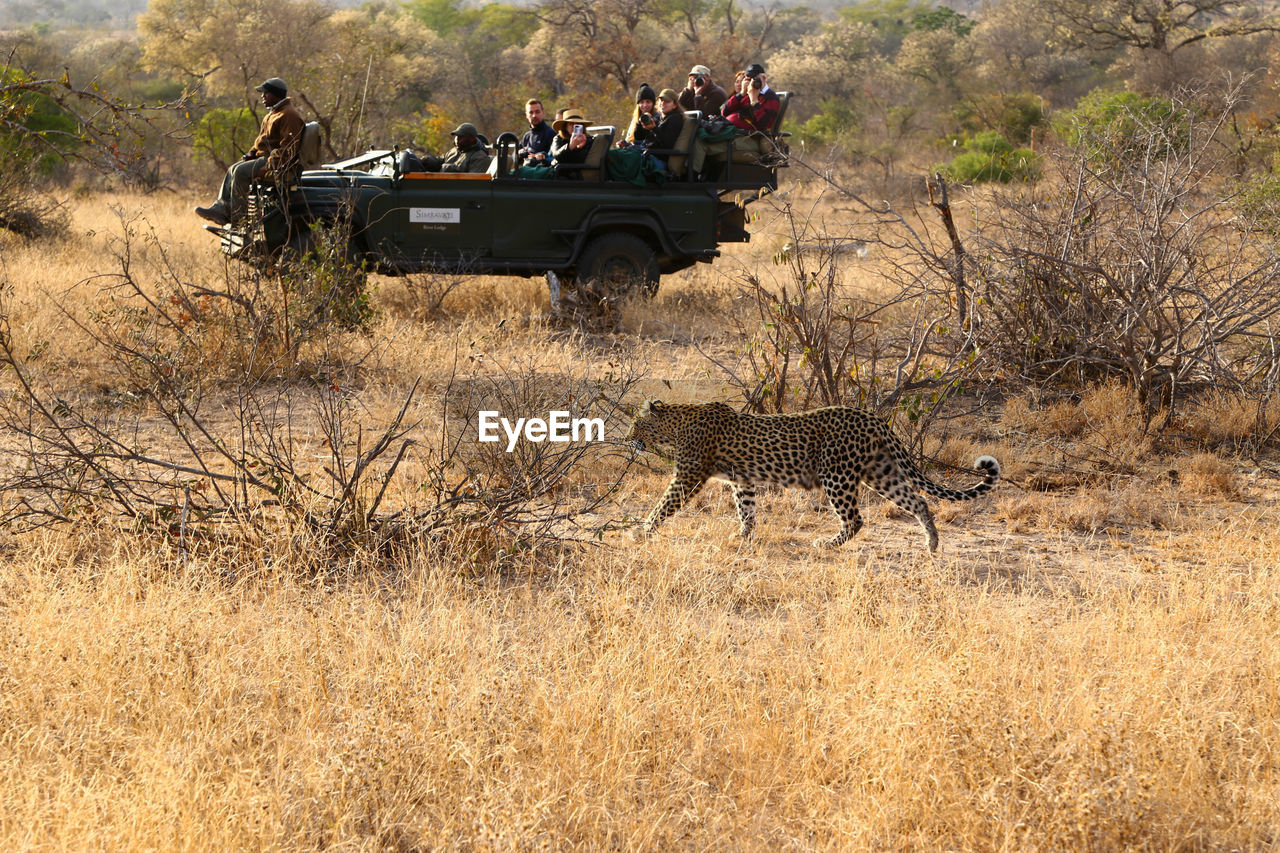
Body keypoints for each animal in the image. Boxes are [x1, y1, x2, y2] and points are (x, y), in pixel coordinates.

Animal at [624, 399, 1003, 550]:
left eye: (636, 424)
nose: (629, 439)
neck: (676, 424)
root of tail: (873, 417)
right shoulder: (743, 480)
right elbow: (746, 511)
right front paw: (743, 536)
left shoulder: (688, 475)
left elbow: (663, 505)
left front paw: (641, 531)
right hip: (881, 472)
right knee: (919, 502)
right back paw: (932, 544)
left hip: (837, 474)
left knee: (855, 519)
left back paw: (827, 544)